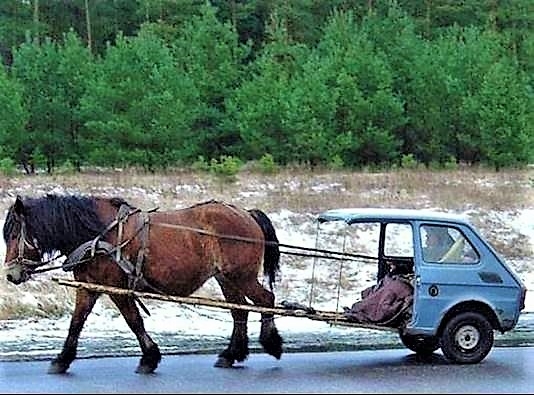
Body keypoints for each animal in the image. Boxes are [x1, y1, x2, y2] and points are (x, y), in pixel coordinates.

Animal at [3, 195, 284, 374]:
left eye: (15, 234)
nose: (10, 275)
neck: (99, 235)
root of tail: (246, 213)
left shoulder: (117, 287)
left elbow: (134, 320)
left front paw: (149, 358)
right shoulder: (89, 287)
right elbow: (76, 323)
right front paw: (62, 360)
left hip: (241, 276)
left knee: (265, 300)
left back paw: (271, 342)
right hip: (227, 278)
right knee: (239, 311)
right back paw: (231, 354)